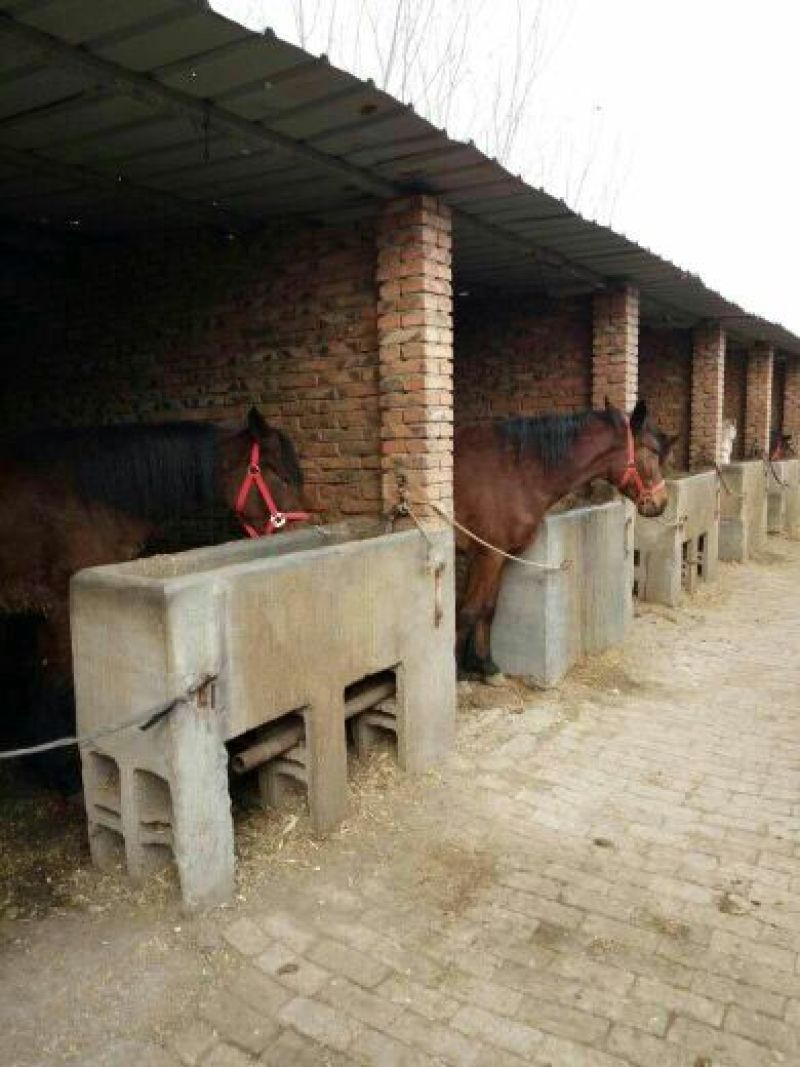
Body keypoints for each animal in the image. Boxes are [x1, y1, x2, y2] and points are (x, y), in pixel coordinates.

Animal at [0, 407, 308, 789]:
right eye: (280, 475)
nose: (304, 531)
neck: (90, 496)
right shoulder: (60, 605)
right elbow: (57, 681)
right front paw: (63, 772)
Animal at [453, 398, 676, 683]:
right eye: (650, 453)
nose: (660, 503)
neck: (513, 473)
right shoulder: (486, 555)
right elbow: (468, 611)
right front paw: (459, 673)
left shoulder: (498, 555)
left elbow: (487, 609)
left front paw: (487, 667)